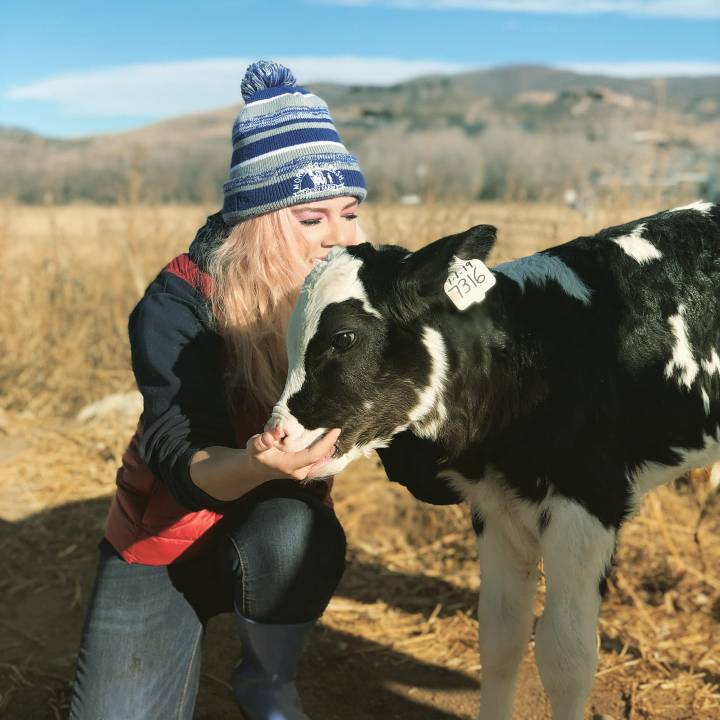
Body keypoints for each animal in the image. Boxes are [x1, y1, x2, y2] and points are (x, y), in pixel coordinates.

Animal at [266, 198, 720, 720]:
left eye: (343, 337)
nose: (277, 436)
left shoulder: (587, 503)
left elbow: (567, 656)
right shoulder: (496, 505)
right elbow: (501, 636)